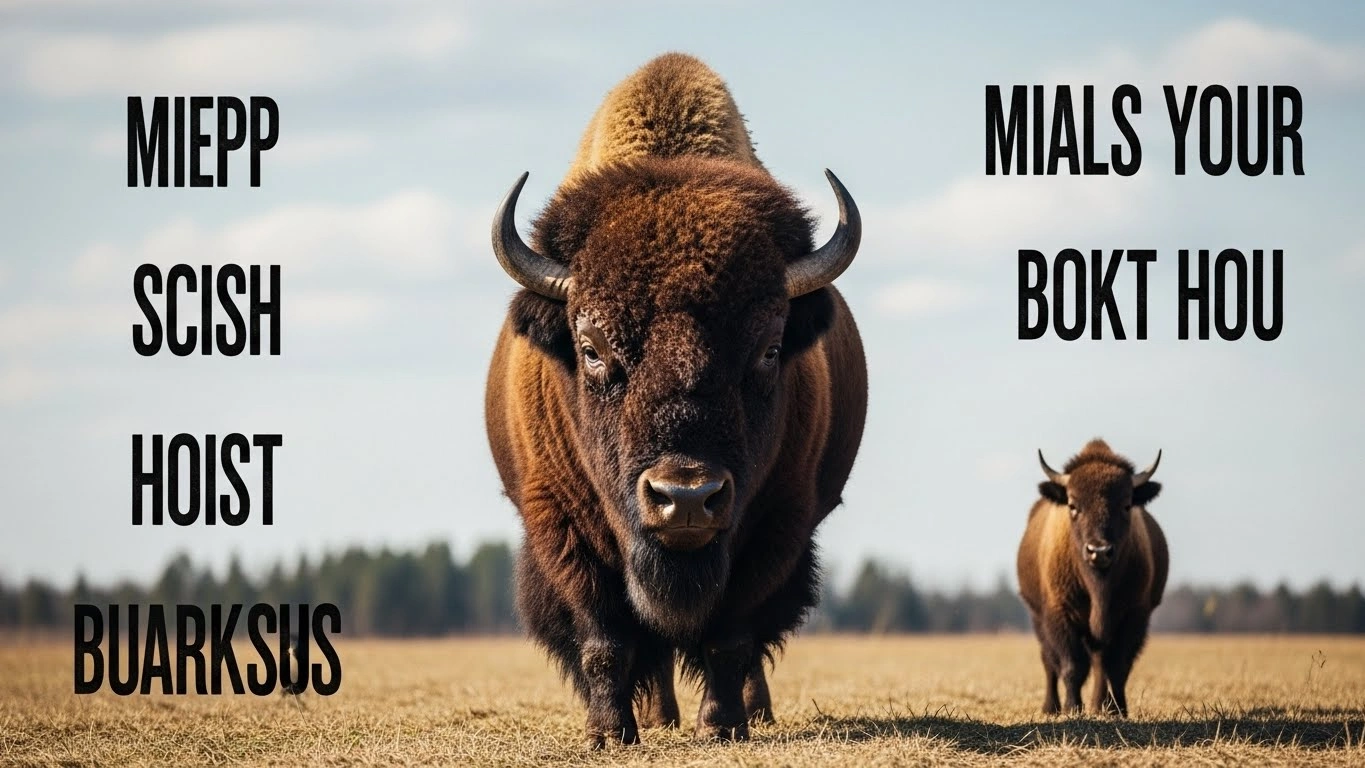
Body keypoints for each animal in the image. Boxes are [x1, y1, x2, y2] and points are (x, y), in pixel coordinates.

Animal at [484, 53, 867, 747]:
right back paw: (658, 717)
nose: (684, 497)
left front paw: (722, 726)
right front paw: (608, 732)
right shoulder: (564, 527)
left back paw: (752, 711)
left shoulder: (775, 524)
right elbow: (605, 640)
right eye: (591, 346)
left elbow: (732, 636)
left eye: (770, 347)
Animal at [1016, 439, 1169, 717]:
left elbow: (1118, 667)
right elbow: (1072, 666)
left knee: (1100, 663)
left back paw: (1100, 706)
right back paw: (1051, 707)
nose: (1099, 551)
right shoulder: (1059, 614)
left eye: (1126, 505)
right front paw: (1072, 709)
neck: (1099, 588)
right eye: (1073, 505)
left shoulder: (1134, 615)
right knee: (1049, 661)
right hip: (1038, 616)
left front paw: (1119, 710)